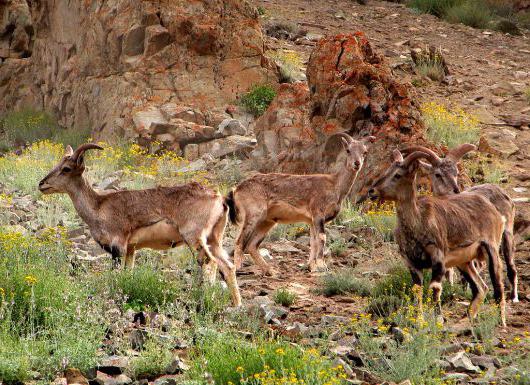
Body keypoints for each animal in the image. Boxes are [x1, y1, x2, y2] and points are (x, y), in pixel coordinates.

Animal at [38, 143, 241, 306]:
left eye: (66, 168)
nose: (42, 184)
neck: (99, 207)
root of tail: (220, 199)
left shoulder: (118, 245)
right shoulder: (131, 249)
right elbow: (128, 272)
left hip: (194, 236)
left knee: (209, 263)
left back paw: (205, 299)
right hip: (214, 239)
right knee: (227, 266)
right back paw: (236, 305)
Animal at [225, 134, 374, 272]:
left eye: (365, 152)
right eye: (348, 150)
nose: (357, 164)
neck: (335, 185)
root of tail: (237, 189)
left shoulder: (312, 221)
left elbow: (313, 242)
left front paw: (311, 266)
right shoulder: (318, 214)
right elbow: (322, 238)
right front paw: (322, 265)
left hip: (266, 221)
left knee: (252, 245)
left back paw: (271, 271)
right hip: (253, 215)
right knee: (240, 242)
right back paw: (238, 269)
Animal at [366, 148, 506, 326]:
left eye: (397, 175)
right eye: (386, 171)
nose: (372, 191)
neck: (418, 223)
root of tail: (494, 210)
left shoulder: (438, 257)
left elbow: (435, 287)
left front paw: (439, 319)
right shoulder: (411, 262)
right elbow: (417, 290)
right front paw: (419, 320)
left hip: (491, 248)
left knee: (497, 285)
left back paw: (501, 322)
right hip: (464, 261)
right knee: (481, 287)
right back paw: (467, 317)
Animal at [400, 142, 516, 302]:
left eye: (455, 172)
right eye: (438, 174)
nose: (455, 190)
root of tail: (502, 192)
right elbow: (450, 269)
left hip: (506, 233)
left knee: (511, 266)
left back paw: (514, 296)